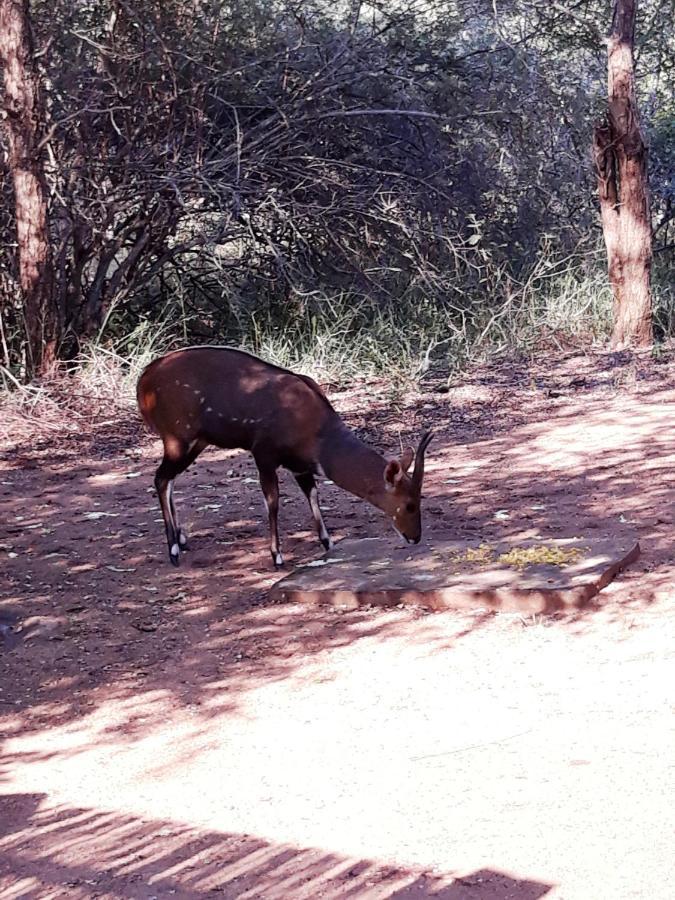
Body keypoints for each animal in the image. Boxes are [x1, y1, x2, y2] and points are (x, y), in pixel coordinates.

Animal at [137, 348, 434, 568]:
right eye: (409, 505)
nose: (415, 537)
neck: (317, 432)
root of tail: (144, 380)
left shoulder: (300, 466)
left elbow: (312, 494)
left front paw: (328, 543)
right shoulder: (264, 454)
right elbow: (273, 501)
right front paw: (277, 556)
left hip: (195, 443)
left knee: (169, 479)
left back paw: (182, 539)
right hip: (178, 438)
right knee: (161, 479)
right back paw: (173, 550)